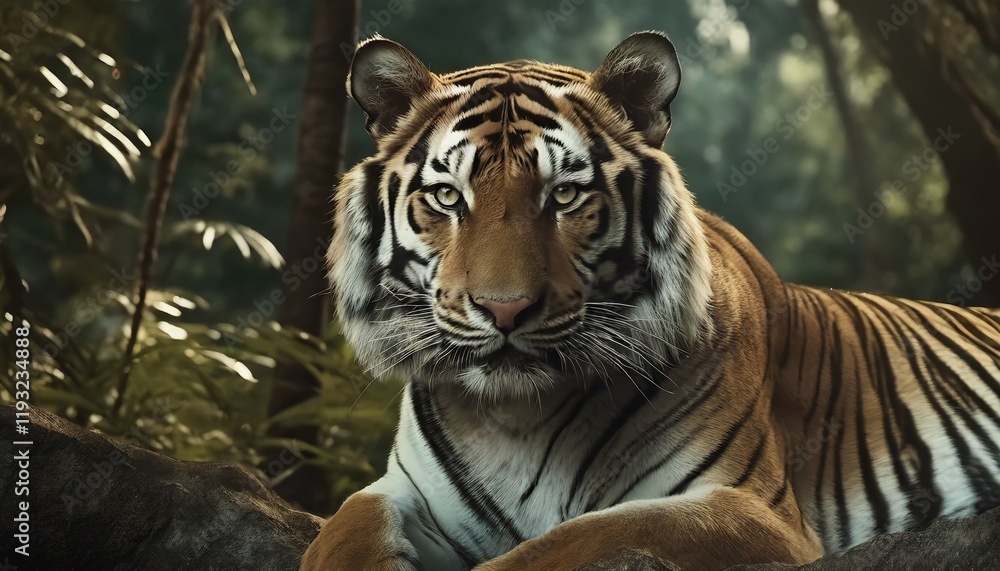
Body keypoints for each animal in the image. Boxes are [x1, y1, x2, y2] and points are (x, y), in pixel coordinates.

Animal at [300, 31, 1000, 570]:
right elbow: (346, 525)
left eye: (564, 195)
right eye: (448, 197)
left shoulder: (746, 508)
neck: (516, 416)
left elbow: (574, 539)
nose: (504, 310)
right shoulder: (404, 490)